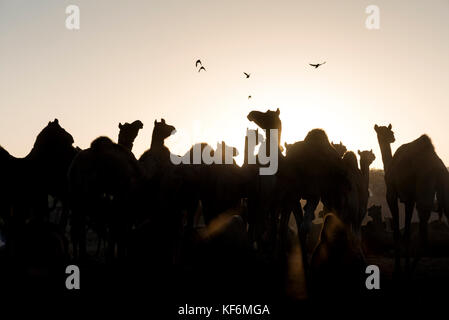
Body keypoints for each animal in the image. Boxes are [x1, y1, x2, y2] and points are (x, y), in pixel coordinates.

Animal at [372, 124, 448, 274]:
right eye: (385, 132)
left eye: (390, 131)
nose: (392, 138)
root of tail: (437, 166)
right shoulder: (409, 199)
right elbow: (406, 233)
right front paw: (404, 265)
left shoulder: (391, 194)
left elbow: (397, 232)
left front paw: (398, 269)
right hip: (444, 184)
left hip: (424, 184)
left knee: (424, 233)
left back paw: (411, 270)